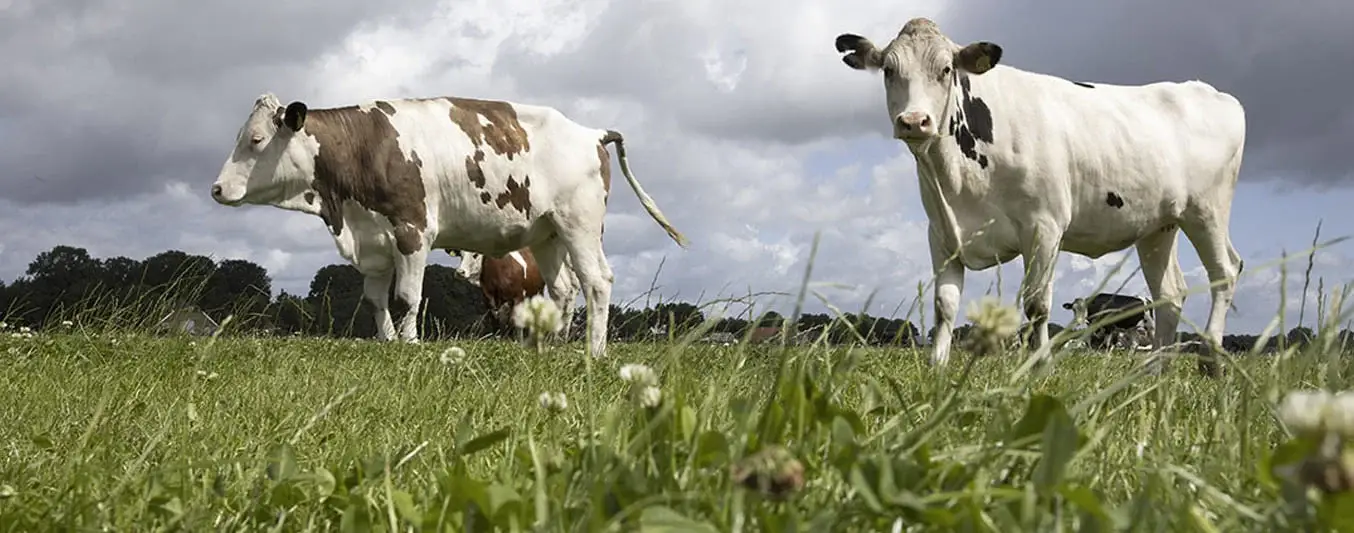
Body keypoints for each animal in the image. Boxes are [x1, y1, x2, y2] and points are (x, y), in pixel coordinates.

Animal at [209, 94, 687, 357]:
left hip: (580, 225)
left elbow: (408, 296)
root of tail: (591, 133)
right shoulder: (375, 239)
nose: (216, 188)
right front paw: (386, 340)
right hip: (549, 233)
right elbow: (375, 298)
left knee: (597, 282)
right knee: (564, 288)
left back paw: (595, 349)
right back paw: (551, 346)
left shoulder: (413, 230)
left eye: (255, 140)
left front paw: (410, 344)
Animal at [834, 16, 1245, 376]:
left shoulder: (1044, 225)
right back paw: (1153, 373)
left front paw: (1039, 367)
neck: (958, 184)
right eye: (888, 70)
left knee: (1224, 271)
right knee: (1170, 293)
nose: (914, 121)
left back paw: (1210, 359)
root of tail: (1210, 92)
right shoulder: (941, 231)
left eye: (947, 69)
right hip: (1159, 226)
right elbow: (944, 303)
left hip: (1207, 210)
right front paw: (937, 367)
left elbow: (1036, 303)